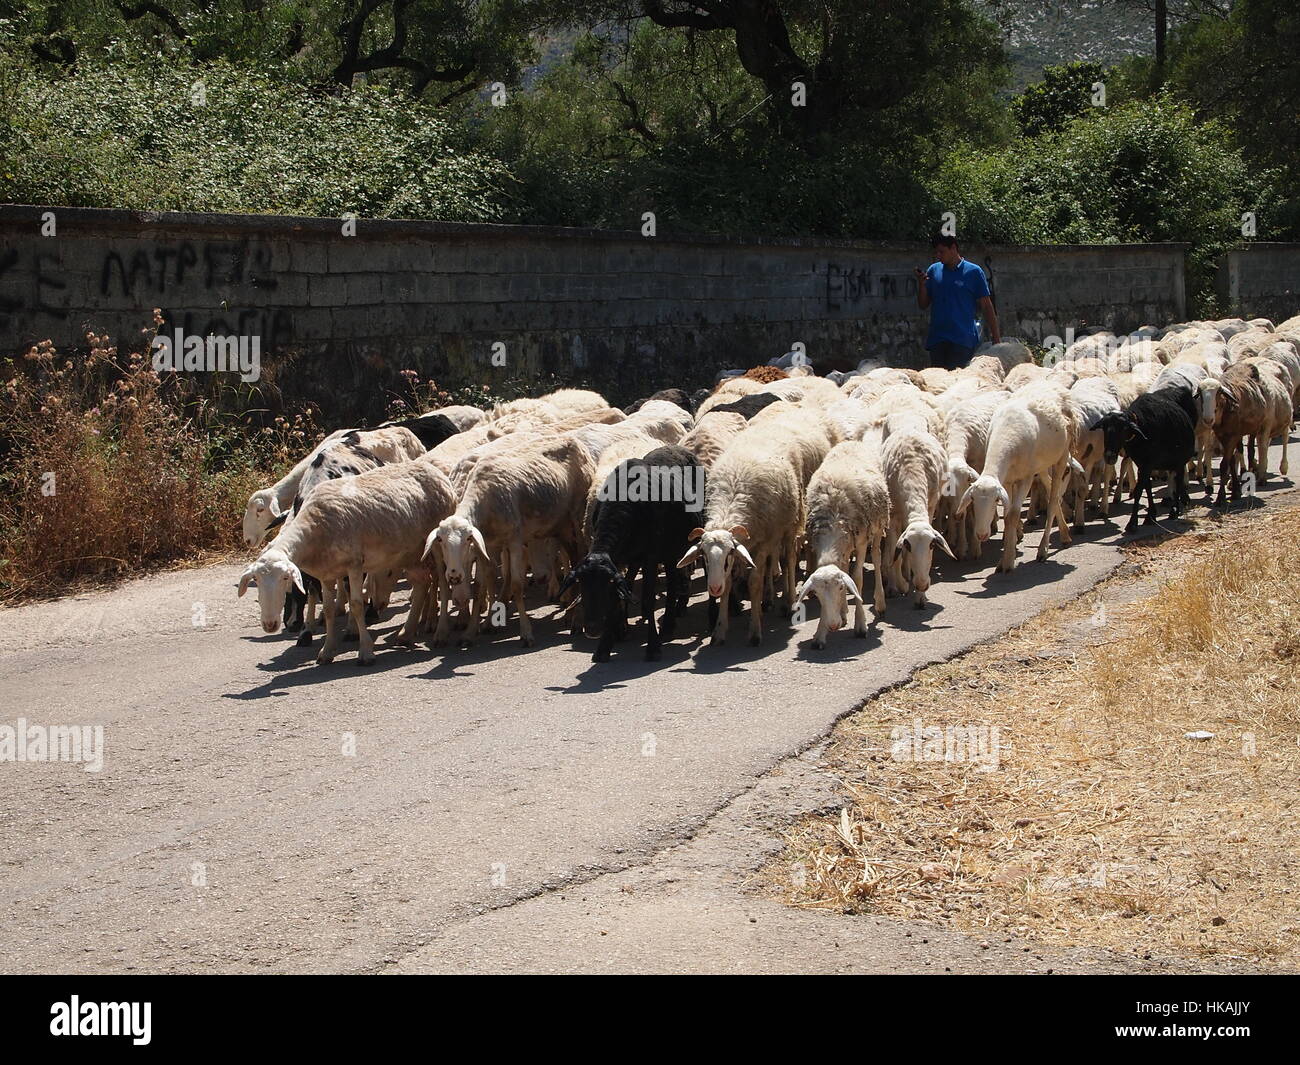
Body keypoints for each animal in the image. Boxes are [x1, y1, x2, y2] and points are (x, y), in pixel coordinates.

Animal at [559, 444, 702, 663]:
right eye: (582, 585)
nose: (592, 630)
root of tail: (676, 446)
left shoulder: (651, 557)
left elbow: (648, 599)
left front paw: (653, 648)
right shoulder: (617, 560)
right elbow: (617, 597)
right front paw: (603, 648)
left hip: (673, 548)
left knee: (672, 583)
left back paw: (668, 625)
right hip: (661, 552)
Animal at [1092, 387, 1190, 533]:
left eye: (1124, 428)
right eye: (1104, 428)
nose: (1109, 456)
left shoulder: (1148, 463)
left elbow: (1139, 490)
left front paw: (1132, 523)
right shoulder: (1142, 463)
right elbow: (1146, 486)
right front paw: (1151, 516)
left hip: (1179, 461)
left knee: (1178, 481)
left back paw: (1175, 509)